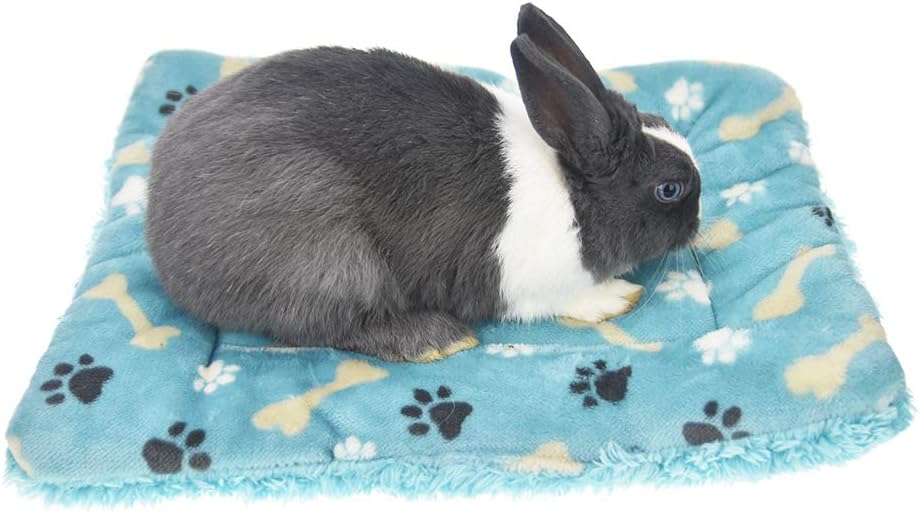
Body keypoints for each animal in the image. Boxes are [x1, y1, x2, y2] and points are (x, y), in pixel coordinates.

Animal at [146, 3, 701, 362]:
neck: (572, 190)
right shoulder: (524, 282)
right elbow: (558, 301)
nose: (698, 225)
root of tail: (159, 234)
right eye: (668, 190)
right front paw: (615, 297)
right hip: (330, 258)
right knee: (328, 326)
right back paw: (438, 339)